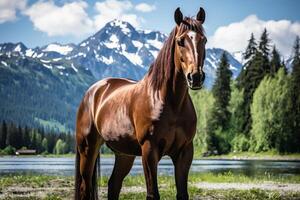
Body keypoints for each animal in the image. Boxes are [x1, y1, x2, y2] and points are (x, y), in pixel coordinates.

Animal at [74, 6, 206, 200]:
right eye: (180, 41)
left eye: (203, 40)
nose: (195, 77)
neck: (169, 102)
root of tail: (92, 92)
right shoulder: (149, 150)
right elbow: (153, 194)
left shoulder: (185, 152)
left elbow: (182, 194)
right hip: (88, 149)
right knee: (85, 188)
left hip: (124, 154)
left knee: (114, 184)